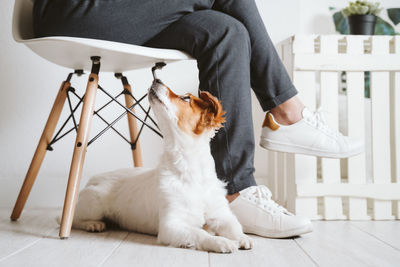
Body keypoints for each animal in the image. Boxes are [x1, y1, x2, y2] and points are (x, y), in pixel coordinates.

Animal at [72, 78, 253, 253]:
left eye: (186, 98)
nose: (156, 79)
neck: (190, 169)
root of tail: (93, 178)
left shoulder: (221, 213)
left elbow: (234, 226)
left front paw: (242, 238)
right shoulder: (171, 225)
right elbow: (200, 234)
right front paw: (221, 241)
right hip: (94, 203)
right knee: (73, 218)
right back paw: (92, 224)